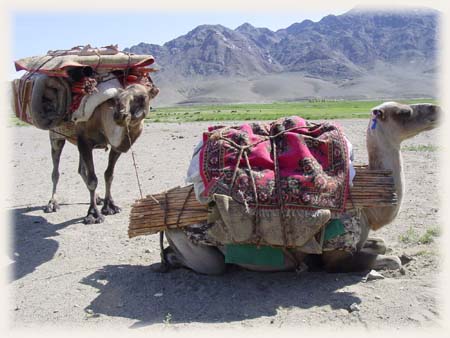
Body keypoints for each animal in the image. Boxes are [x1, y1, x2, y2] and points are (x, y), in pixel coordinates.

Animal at [44, 82, 160, 224]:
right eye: (118, 98)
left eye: (143, 97)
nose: (120, 115)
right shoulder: (85, 141)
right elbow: (93, 179)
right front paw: (93, 214)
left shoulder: (114, 148)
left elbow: (108, 175)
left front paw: (110, 206)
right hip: (56, 136)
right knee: (56, 171)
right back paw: (52, 204)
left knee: (81, 170)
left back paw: (98, 198)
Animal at [161, 101, 440, 274]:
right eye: (404, 113)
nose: (435, 109)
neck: (369, 209)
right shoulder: (335, 255)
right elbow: (388, 258)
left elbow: (382, 244)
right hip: (196, 246)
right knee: (207, 264)